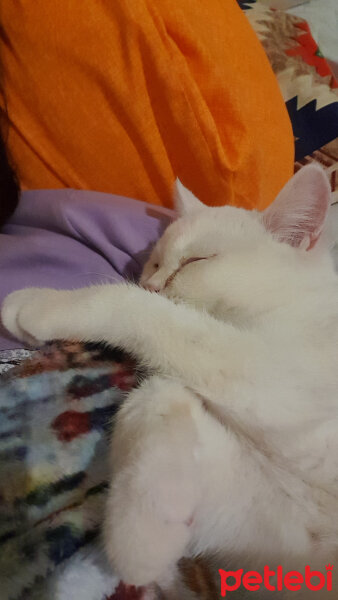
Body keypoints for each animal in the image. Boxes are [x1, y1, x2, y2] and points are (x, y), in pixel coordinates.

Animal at [2, 165, 338, 600]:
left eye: (196, 260)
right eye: (155, 263)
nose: (150, 283)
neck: (299, 305)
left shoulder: (278, 381)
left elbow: (144, 312)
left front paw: (40, 305)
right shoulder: (277, 532)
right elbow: (156, 392)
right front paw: (145, 528)